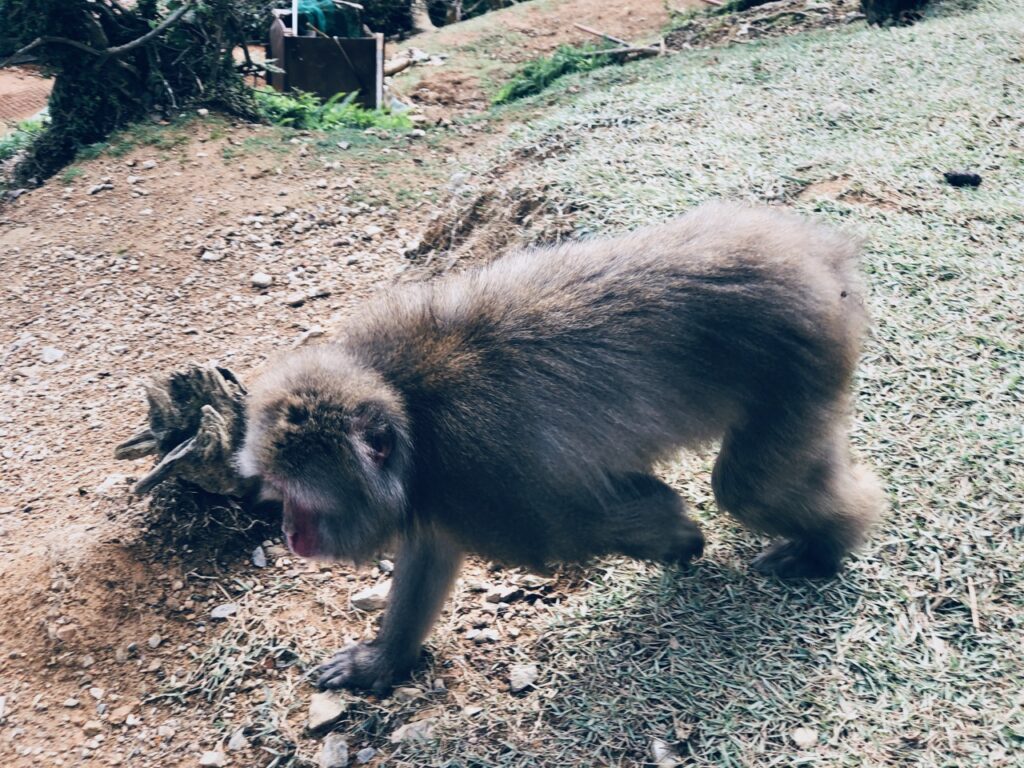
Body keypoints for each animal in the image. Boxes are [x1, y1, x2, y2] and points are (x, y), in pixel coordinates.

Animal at [236, 201, 884, 694]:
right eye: (279, 492)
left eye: (298, 495)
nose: (289, 532)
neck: (410, 406)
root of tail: (816, 252)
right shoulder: (440, 487)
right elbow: (429, 554)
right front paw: (383, 661)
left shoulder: (484, 473)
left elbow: (569, 529)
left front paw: (671, 530)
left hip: (800, 361)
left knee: (748, 488)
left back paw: (828, 545)